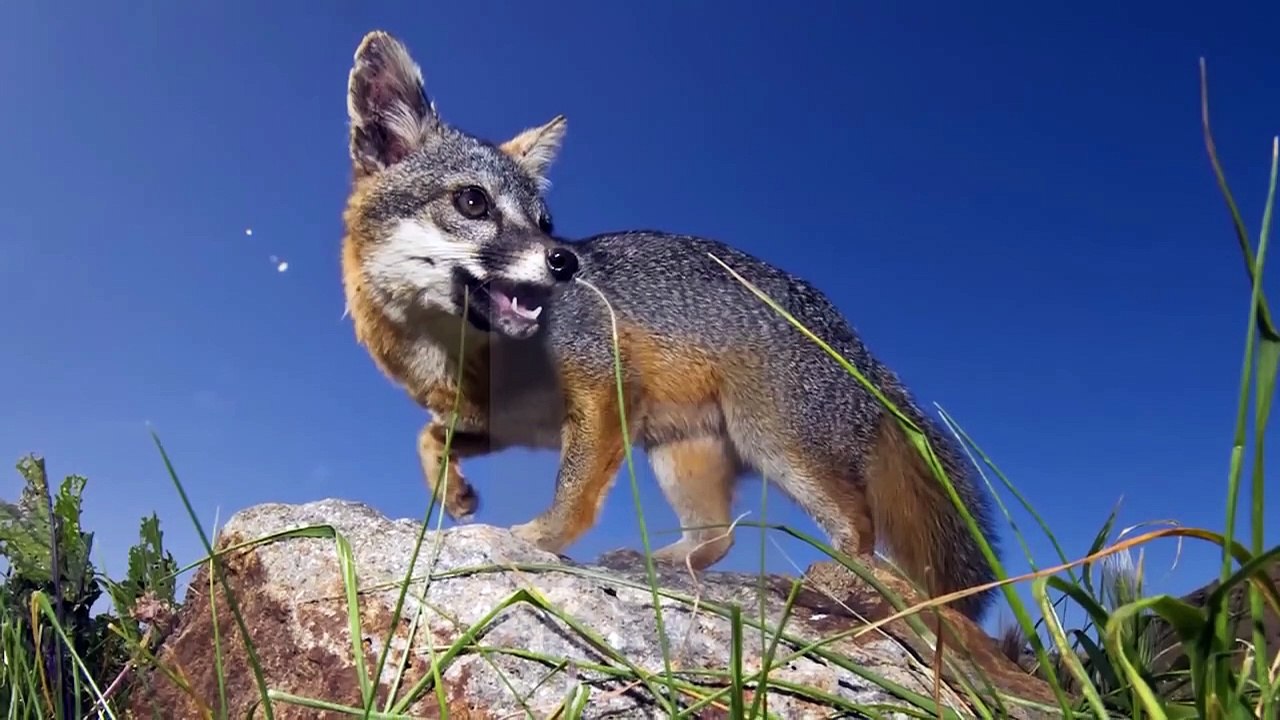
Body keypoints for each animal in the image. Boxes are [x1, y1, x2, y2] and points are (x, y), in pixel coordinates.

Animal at [340, 30, 1001, 620]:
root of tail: (855, 344)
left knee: (857, 527)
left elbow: (574, 494)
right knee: (719, 536)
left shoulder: (603, 396)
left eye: (545, 220)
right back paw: (661, 563)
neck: (458, 352)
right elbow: (429, 437)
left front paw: (535, 541)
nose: (565, 261)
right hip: (683, 456)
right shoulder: (507, 421)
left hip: (775, 446)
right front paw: (453, 492)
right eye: (473, 202)